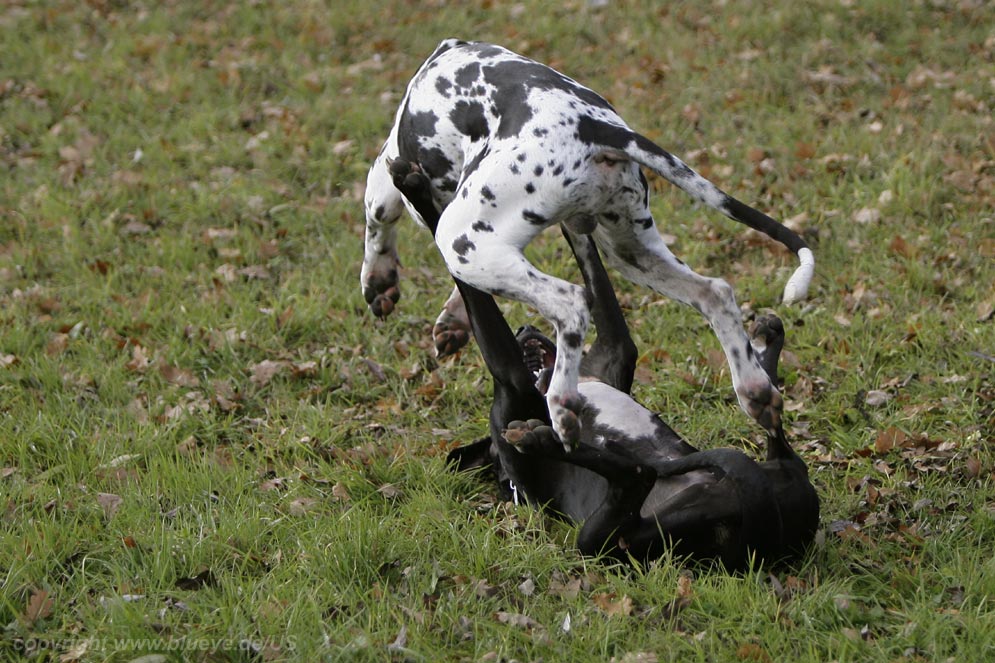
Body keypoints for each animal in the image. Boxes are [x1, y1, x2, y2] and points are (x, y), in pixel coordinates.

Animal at [362, 39, 812, 448]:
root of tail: (592, 127)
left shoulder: (388, 182)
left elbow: (378, 221)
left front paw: (380, 280)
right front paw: (452, 320)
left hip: (462, 240)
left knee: (572, 304)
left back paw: (562, 404)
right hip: (629, 251)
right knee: (715, 294)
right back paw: (756, 392)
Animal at [388, 158, 816, 568]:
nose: (525, 326)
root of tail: (759, 545)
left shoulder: (611, 351)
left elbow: (589, 264)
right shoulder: (511, 381)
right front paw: (416, 191)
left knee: (766, 432)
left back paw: (766, 348)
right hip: (604, 541)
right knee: (637, 477)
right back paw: (541, 440)